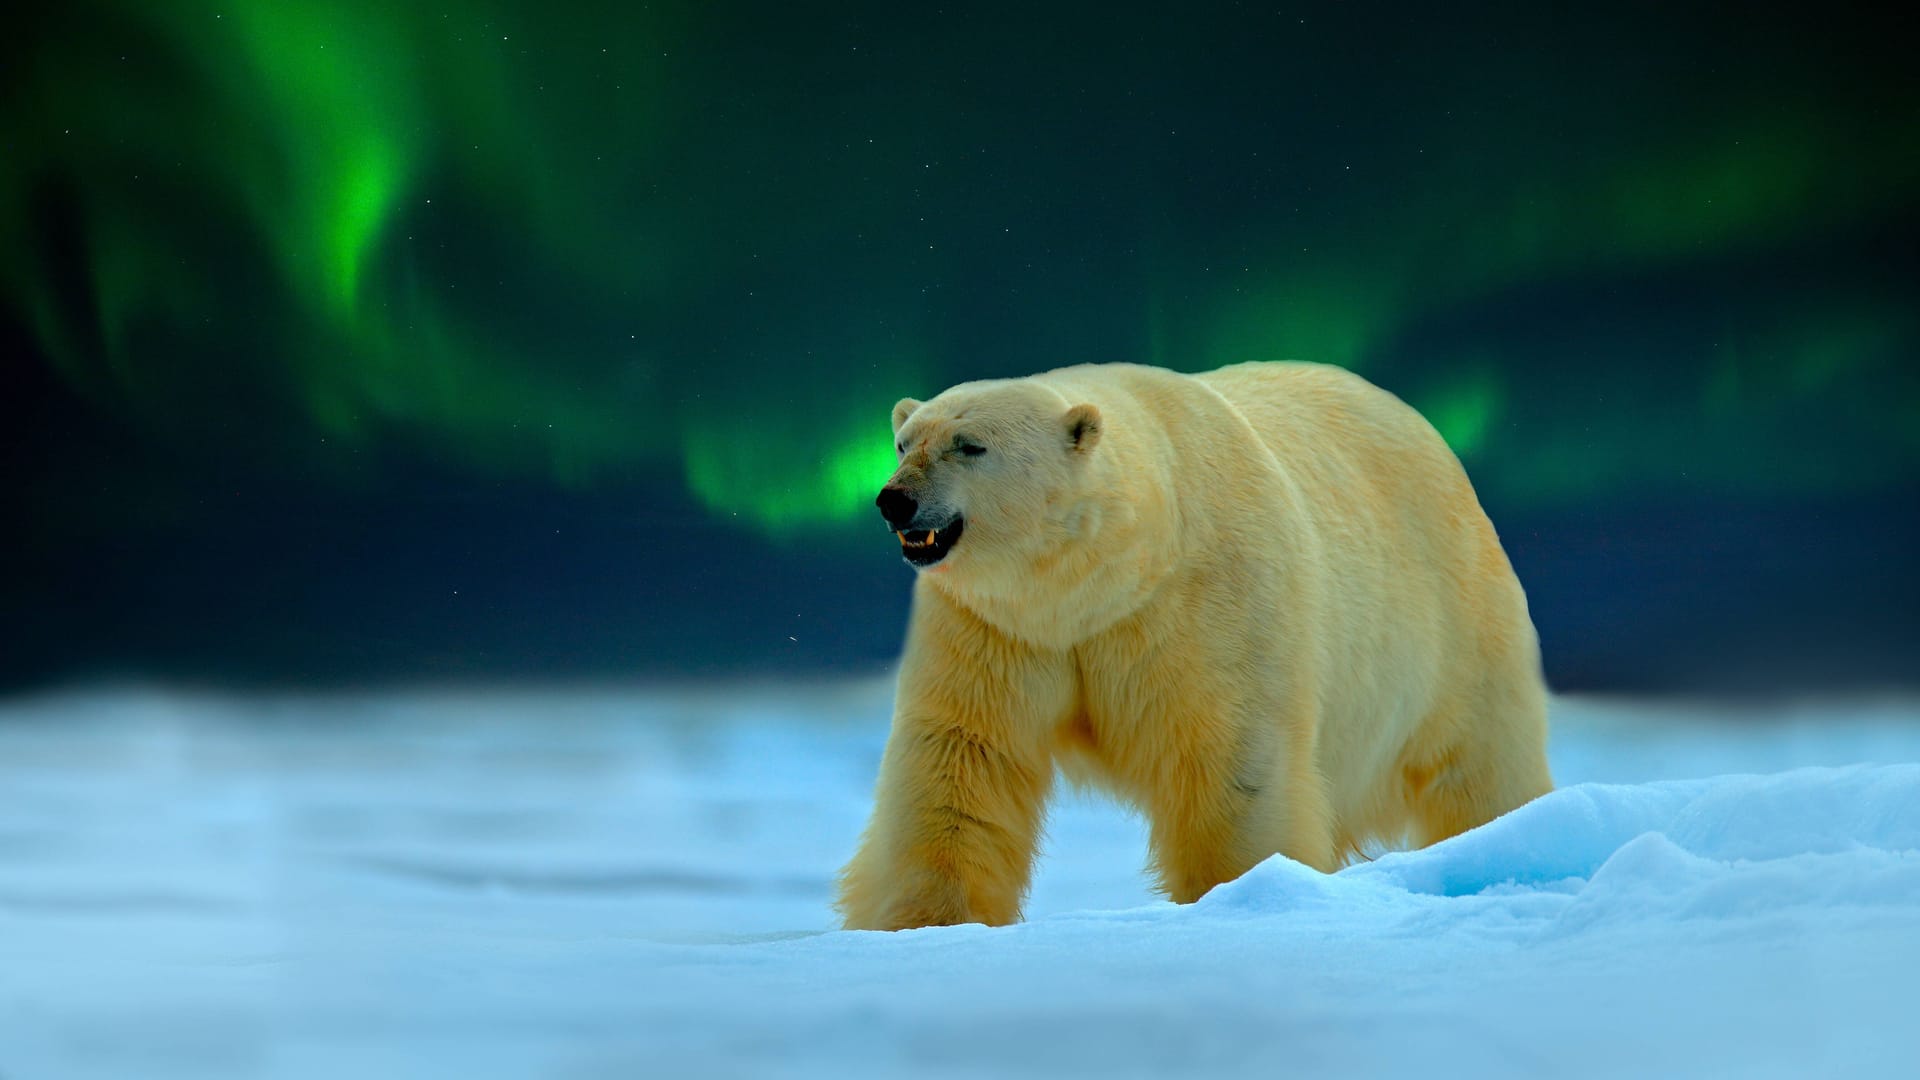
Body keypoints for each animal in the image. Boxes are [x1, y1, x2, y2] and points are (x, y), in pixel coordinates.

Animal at [833, 359, 1551, 926]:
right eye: (902, 441)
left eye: (970, 445)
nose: (894, 500)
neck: (1102, 580)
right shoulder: (996, 627)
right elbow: (964, 758)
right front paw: (929, 924)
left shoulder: (1201, 607)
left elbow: (1228, 759)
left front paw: (1238, 895)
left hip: (1452, 613)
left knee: (1482, 761)